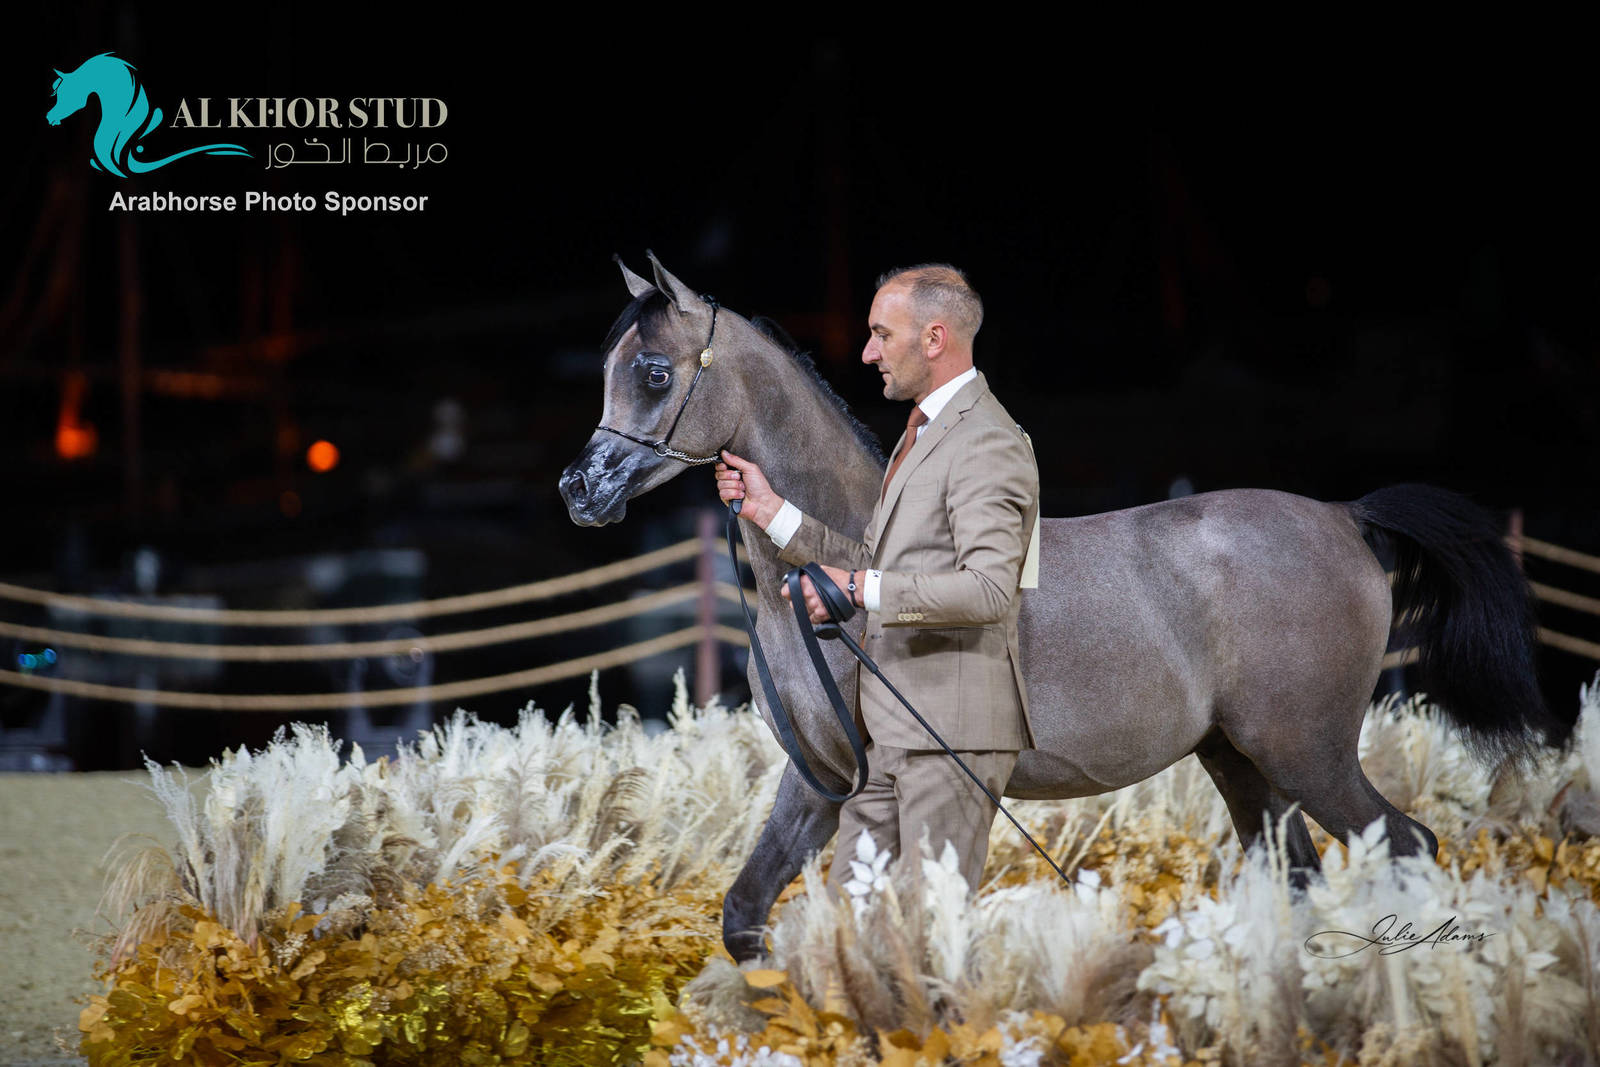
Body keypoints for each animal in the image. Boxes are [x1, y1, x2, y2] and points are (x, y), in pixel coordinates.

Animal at [560, 253, 1574, 961]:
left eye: (654, 372)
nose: (580, 488)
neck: (830, 576)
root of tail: (1344, 514)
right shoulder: (819, 782)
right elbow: (749, 916)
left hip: (1309, 752)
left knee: (1409, 843)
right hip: (1246, 764)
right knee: (1297, 872)